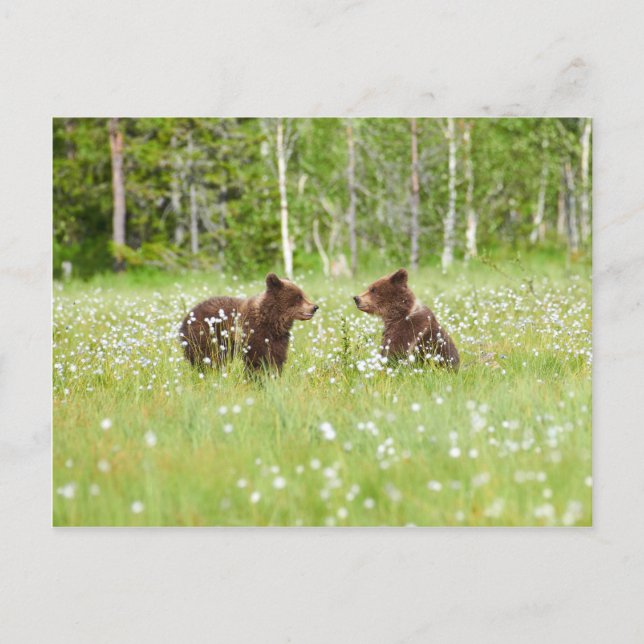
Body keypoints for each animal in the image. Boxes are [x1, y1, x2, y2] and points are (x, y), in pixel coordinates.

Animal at [180, 273, 318, 372]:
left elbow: (276, 357)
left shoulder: (277, 339)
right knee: (207, 357)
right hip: (206, 337)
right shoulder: (253, 334)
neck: (271, 321)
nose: (314, 307)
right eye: (298, 297)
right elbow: (256, 359)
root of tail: (188, 315)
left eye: (303, 294)